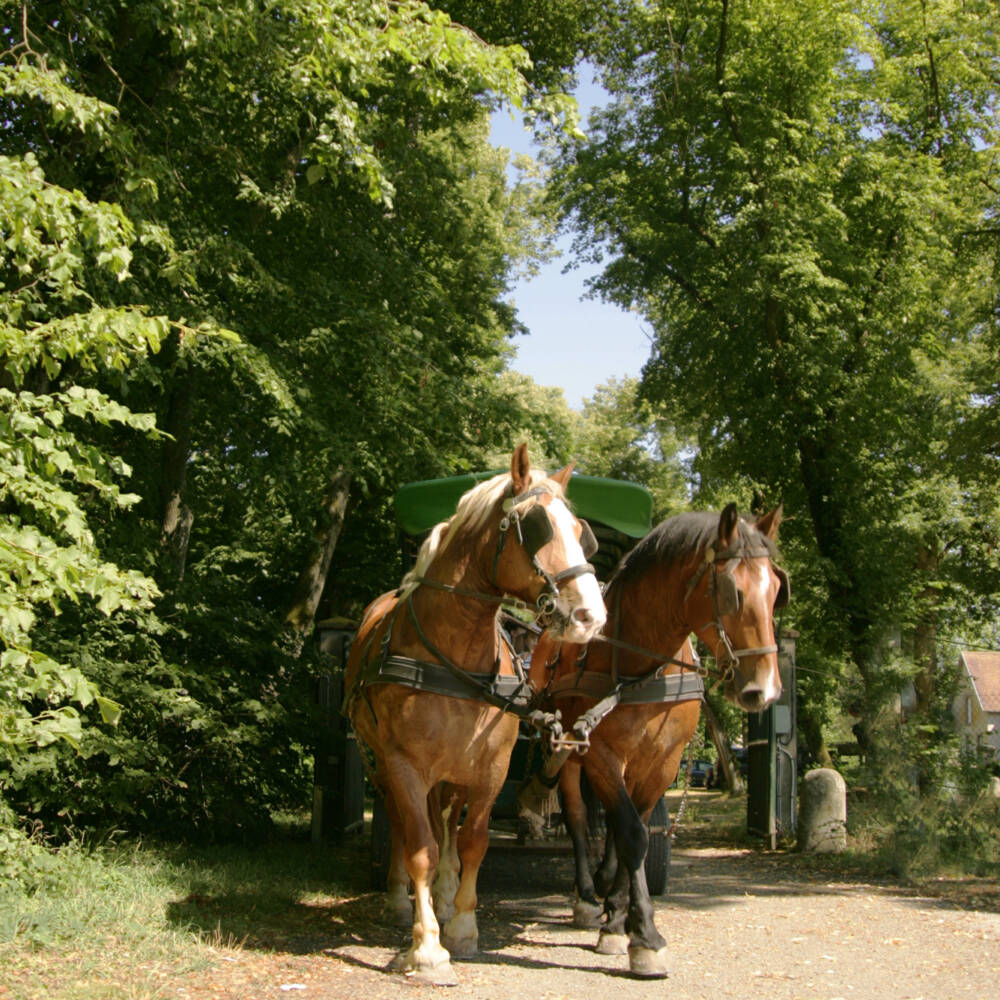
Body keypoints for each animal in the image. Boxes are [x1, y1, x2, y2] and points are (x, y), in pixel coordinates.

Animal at [344, 446, 608, 984]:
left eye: (581, 530)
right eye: (537, 526)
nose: (591, 616)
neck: (455, 655)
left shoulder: (490, 768)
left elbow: (473, 842)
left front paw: (462, 925)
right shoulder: (404, 765)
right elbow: (420, 847)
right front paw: (427, 947)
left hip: (452, 772)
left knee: (446, 820)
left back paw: (444, 898)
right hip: (385, 766)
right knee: (404, 825)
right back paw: (401, 900)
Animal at [528, 504, 792, 972]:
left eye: (778, 589)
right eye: (732, 591)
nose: (764, 689)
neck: (640, 666)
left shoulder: (663, 762)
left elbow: (636, 828)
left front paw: (620, 921)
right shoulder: (600, 754)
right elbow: (632, 833)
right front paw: (644, 936)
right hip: (569, 755)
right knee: (577, 818)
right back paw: (586, 896)